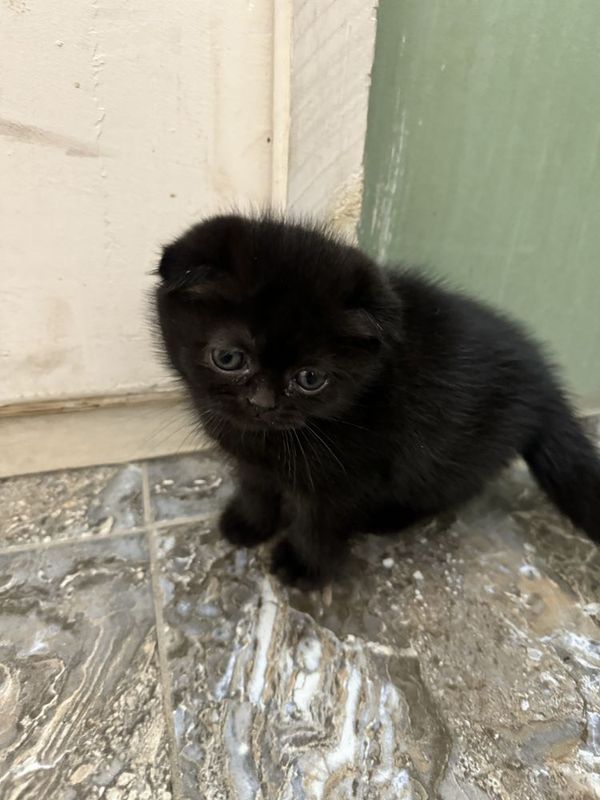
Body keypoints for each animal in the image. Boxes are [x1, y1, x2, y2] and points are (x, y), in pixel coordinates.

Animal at [156, 212, 600, 588]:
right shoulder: (251, 462)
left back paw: (387, 516)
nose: (263, 402)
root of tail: (545, 383)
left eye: (310, 378)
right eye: (228, 358)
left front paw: (304, 566)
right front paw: (250, 524)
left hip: (449, 456)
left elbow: (318, 523)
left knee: (451, 489)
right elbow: (255, 487)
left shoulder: (348, 478)